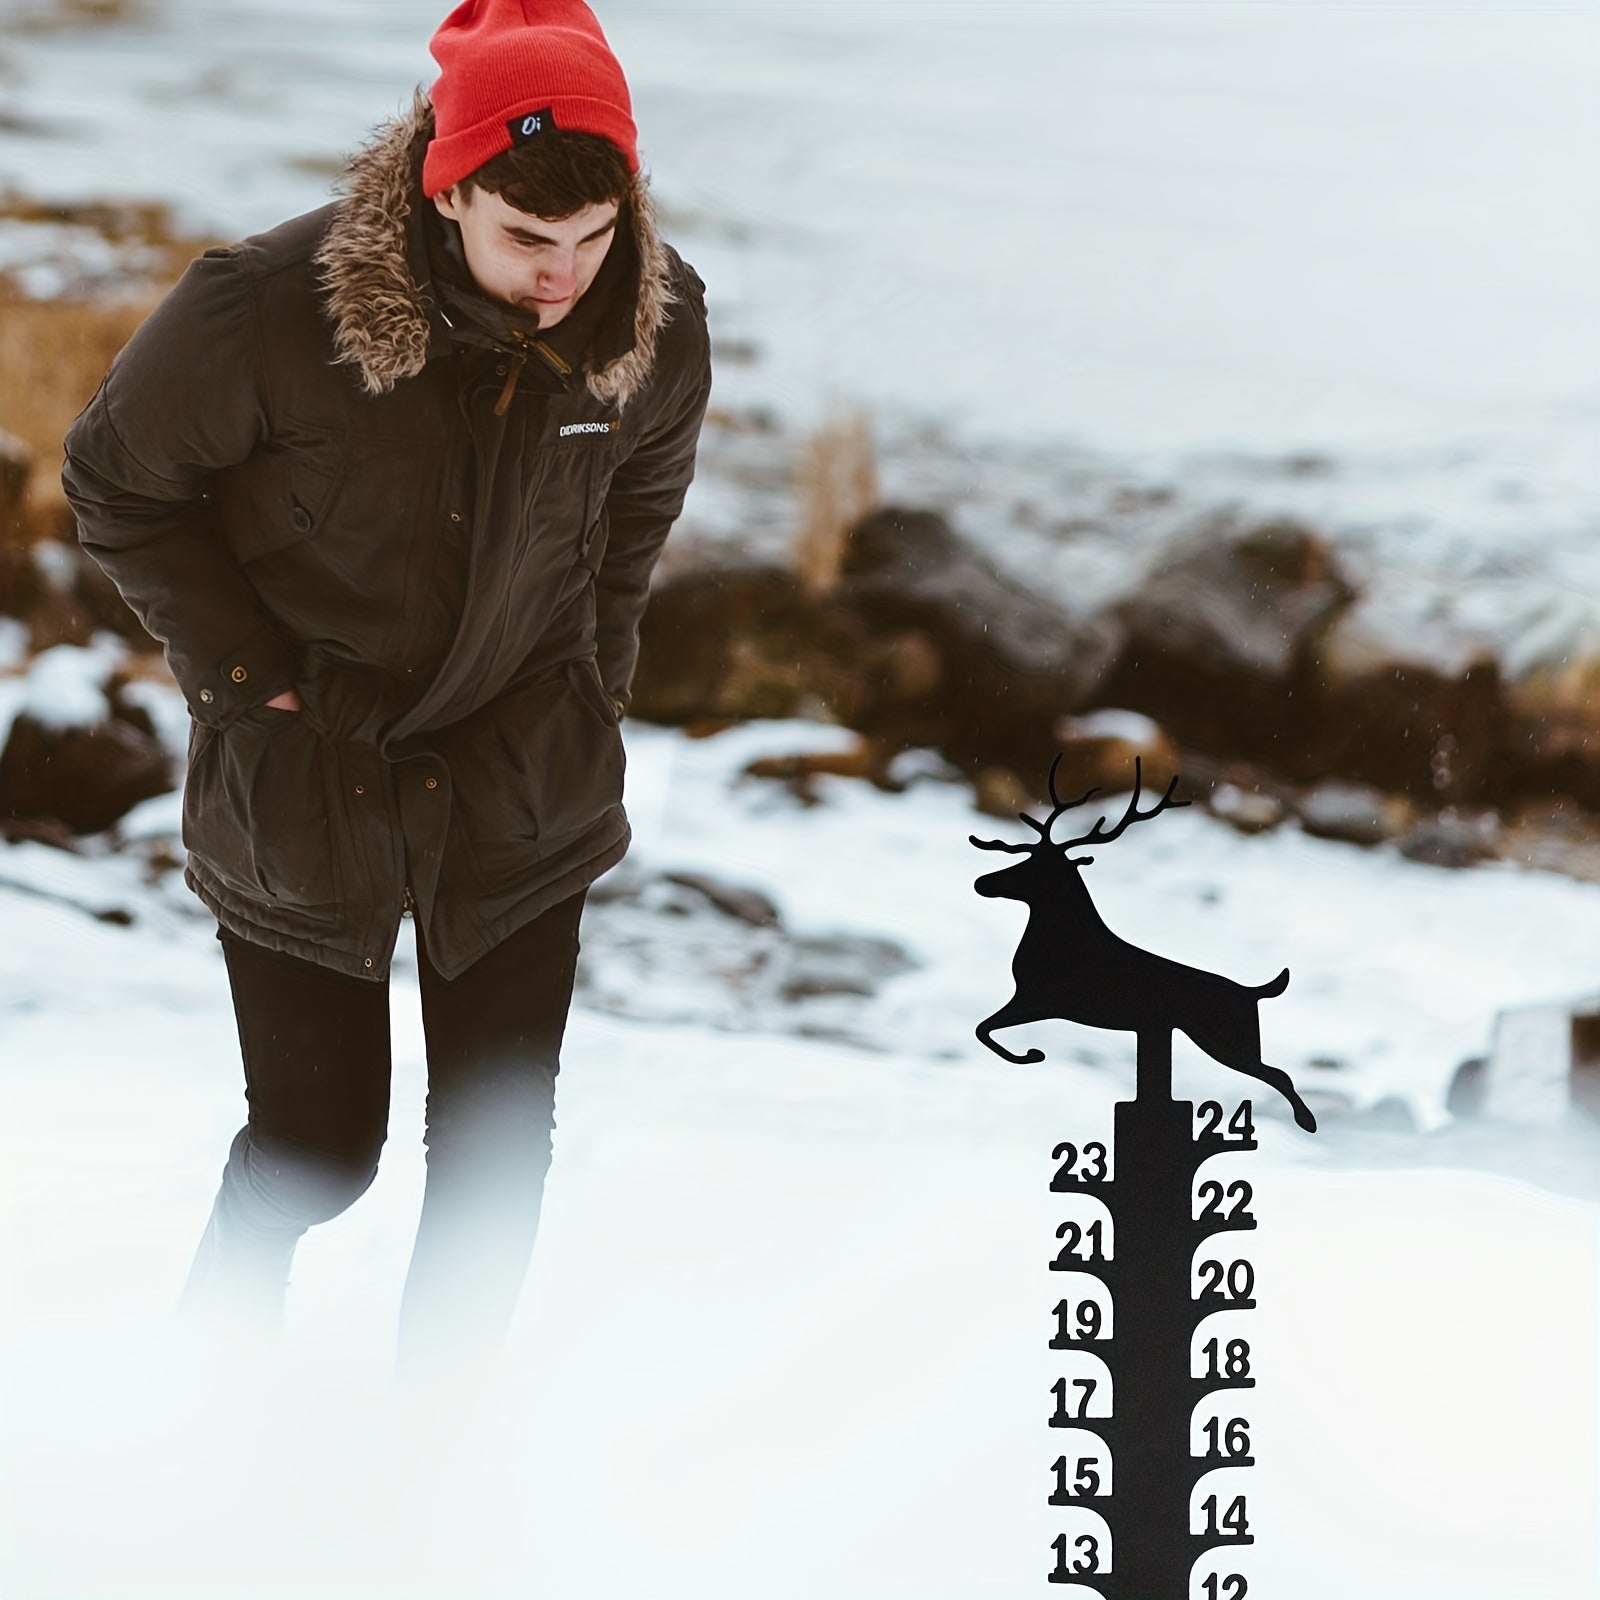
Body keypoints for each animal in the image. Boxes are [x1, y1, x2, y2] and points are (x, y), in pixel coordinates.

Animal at [972, 756, 1317, 1132]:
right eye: (1025, 857)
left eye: (1039, 868)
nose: (981, 882)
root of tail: (1253, 992)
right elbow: (983, 1028)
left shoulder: (1037, 999)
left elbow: (983, 1029)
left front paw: (1031, 1056)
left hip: (1229, 1041)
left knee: (1279, 1074)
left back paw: (1307, 1121)